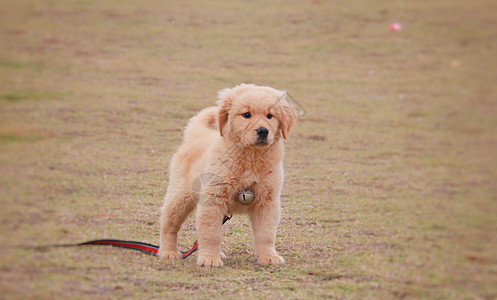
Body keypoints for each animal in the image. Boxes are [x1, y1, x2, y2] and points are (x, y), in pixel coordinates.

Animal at [159, 82, 292, 268]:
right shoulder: (213, 199)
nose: (263, 131)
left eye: (270, 116)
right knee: (168, 224)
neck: (250, 158)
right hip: (180, 196)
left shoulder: (267, 202)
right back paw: (169, 252)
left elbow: (266, 234)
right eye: (246, 115)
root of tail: (197, 133)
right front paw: (209, 259)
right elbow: (211, 234)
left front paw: (268, 257)